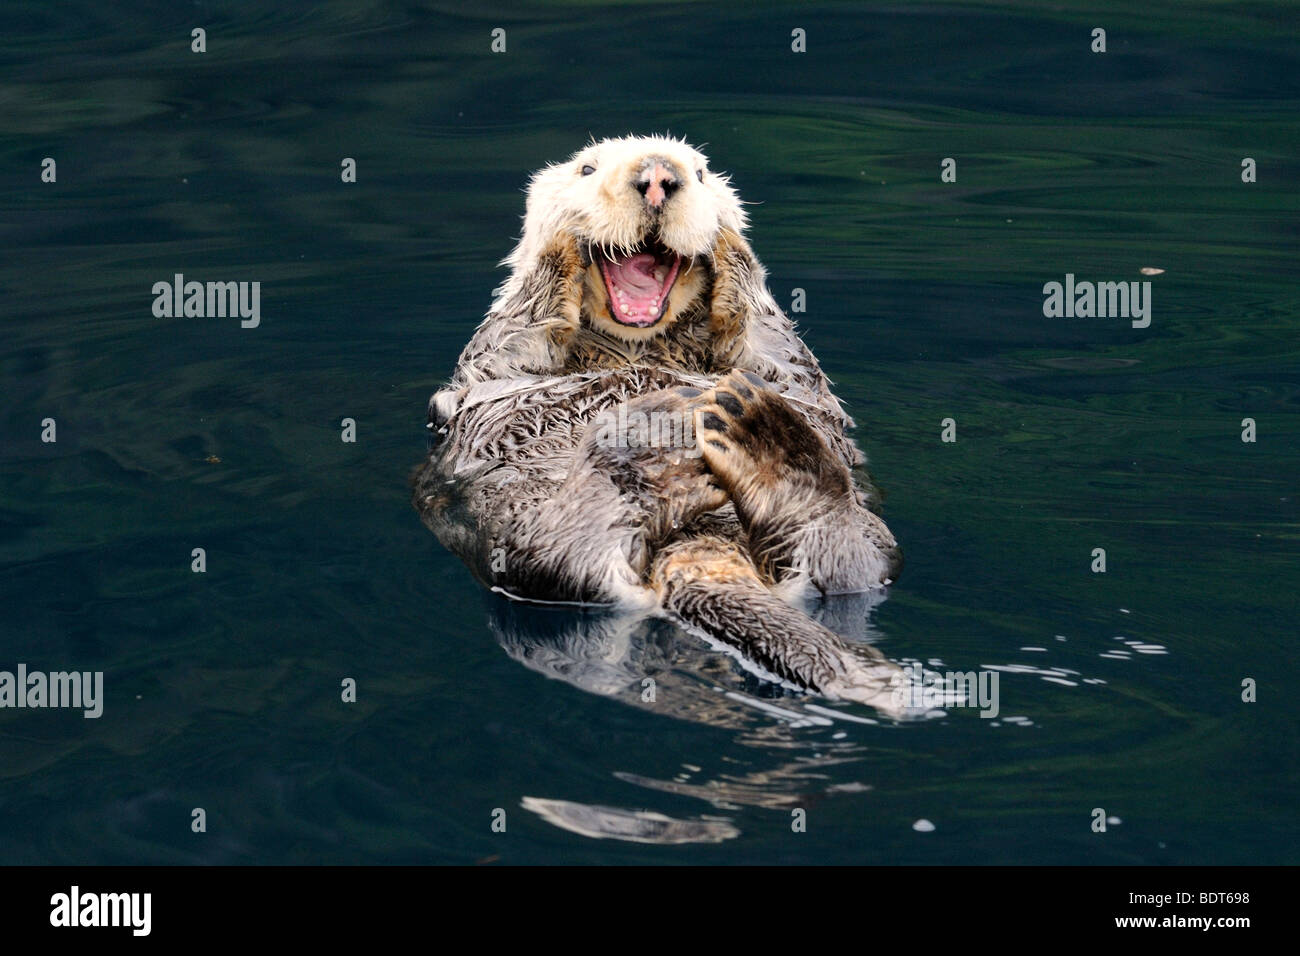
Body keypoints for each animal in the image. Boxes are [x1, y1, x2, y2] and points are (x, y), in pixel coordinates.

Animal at [414, 135, 903, 707]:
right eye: (587, 168)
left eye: (701, 172)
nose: (656, 177)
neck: (638, 345)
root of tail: (697, 552)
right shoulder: (495, 357)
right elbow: (522, 326)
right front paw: (557, 245)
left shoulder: (779, 365)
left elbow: (770, 342)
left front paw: (732, 246)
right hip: (516, 549)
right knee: (564, 560)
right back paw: (649, 448)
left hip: (874, 540)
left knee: (845, 567)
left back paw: (770, 448)